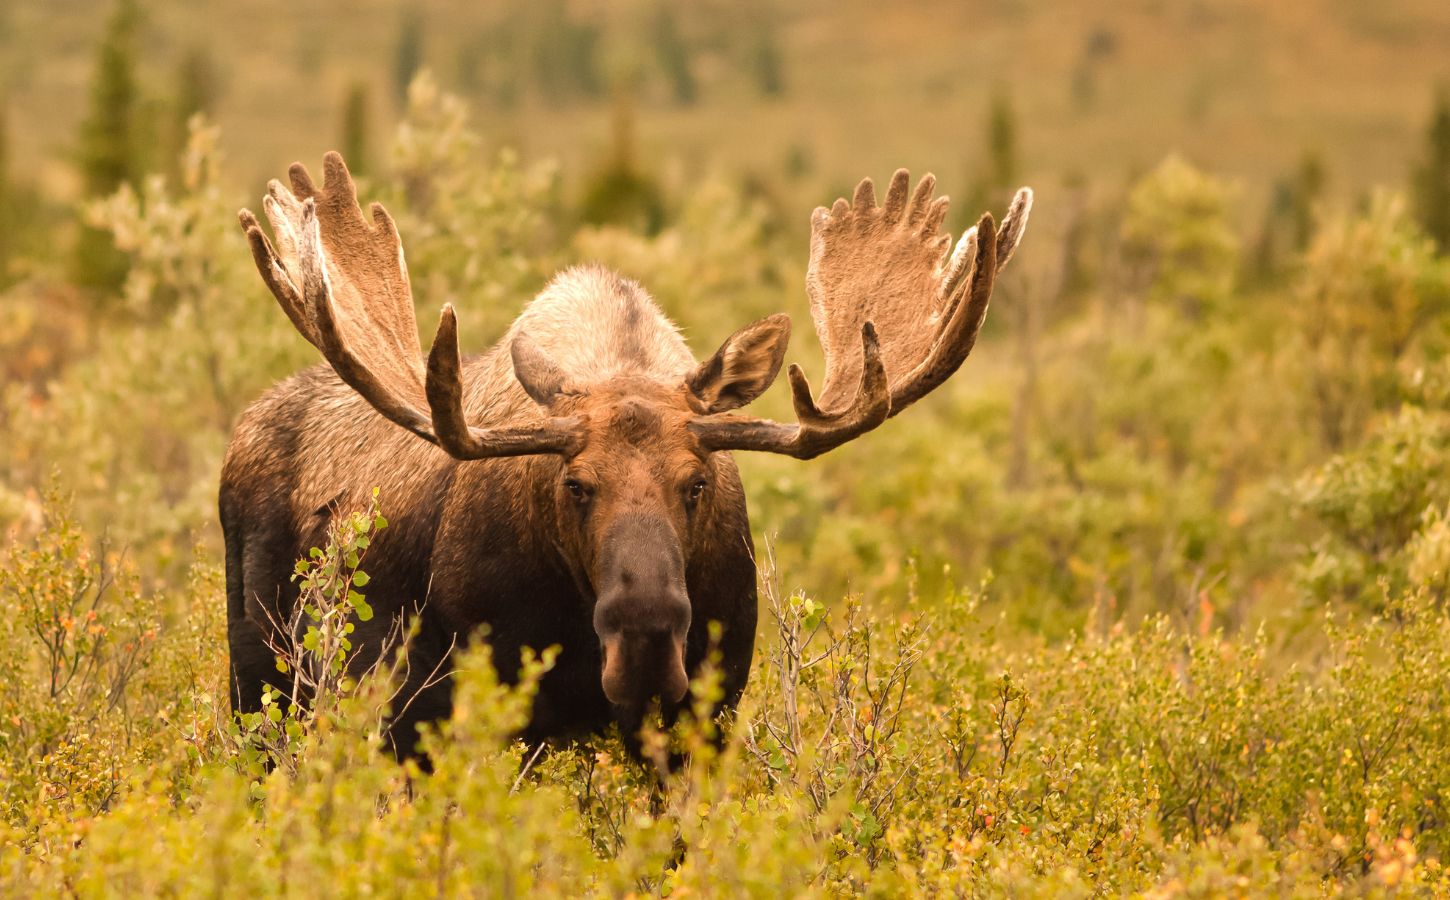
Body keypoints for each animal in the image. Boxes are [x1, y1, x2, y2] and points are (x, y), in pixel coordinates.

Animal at [220, 152, 1032, 759]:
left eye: (697, 484)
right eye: (575, 484)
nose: (645, 634)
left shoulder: (703, 715)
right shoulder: (466, 711)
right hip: (264, 678)